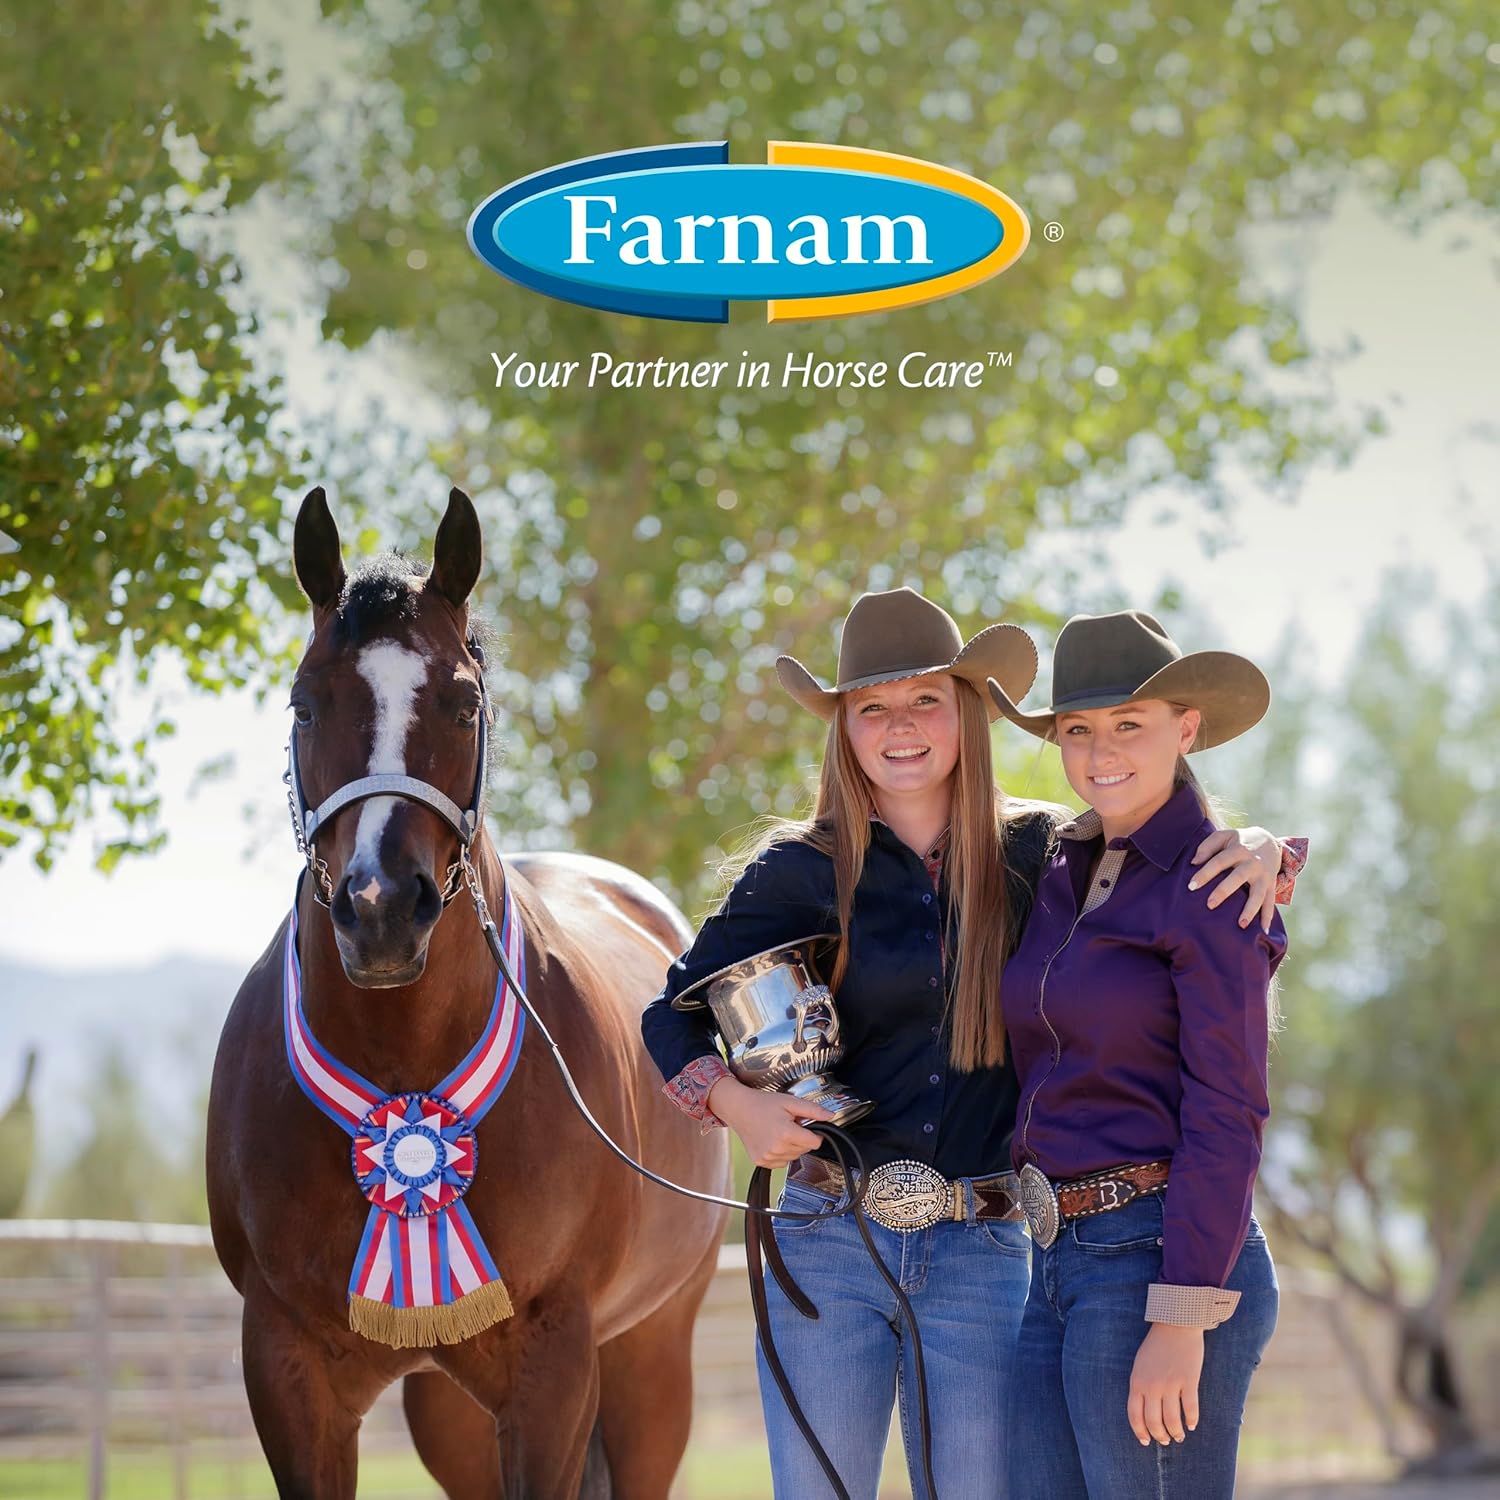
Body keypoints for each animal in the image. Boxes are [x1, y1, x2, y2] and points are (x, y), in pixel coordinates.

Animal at [207, 486, 730, 1499]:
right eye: (304, 703)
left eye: (462, 702)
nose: (379, 908)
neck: (402, 1060)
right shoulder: (283, 1368)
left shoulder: (554, 1368)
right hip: (449, 1408)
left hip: (650, 1361)